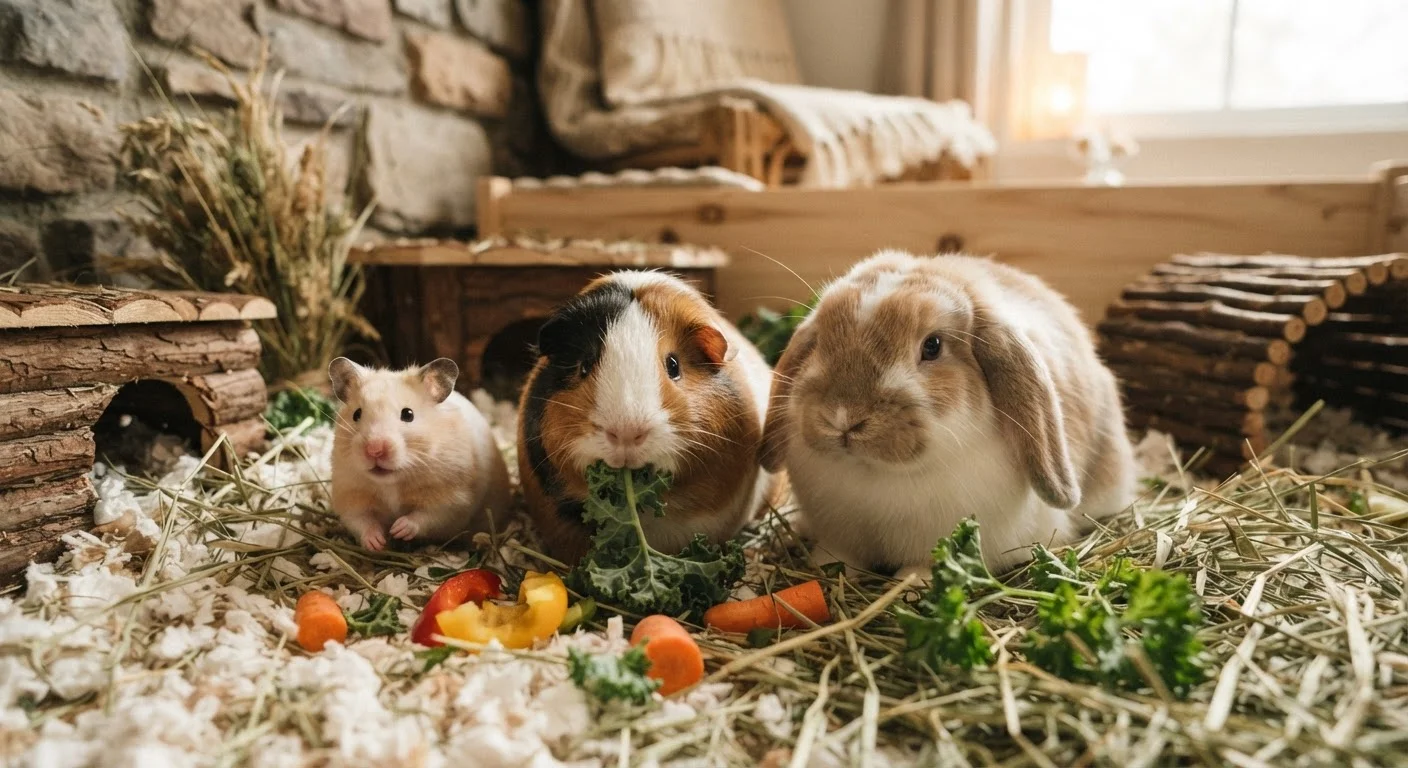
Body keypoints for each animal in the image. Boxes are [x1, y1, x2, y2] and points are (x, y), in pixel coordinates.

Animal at [328, 357, 511, 551]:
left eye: (408, 414)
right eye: (356, 414)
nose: (374, 450)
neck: (391, 483)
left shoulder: (453, 499)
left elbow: (427, 517)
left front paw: (398, 529)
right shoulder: (350, 496)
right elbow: (361, 521)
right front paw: (377, 542)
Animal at [760, 249, 1137, 578]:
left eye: (933, 346)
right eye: (822, 341)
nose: (843, 418)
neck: (877, 474)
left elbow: (924, 564)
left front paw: (912, 581)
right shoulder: (840, 536)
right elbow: (838, 556)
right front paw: (822, 568)